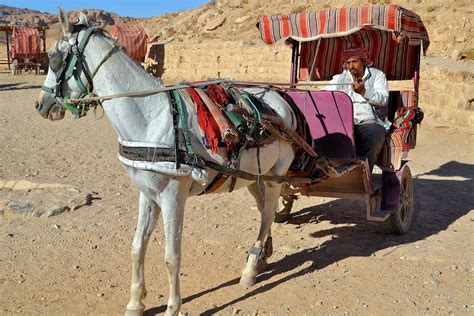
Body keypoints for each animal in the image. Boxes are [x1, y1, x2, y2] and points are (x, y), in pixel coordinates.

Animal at [35, 8, 296, 314]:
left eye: (54, 58)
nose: (40, 105)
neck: (152, 119)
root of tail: (282, 99)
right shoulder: (146, 193)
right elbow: (137, 246)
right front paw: (135, 302)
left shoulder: (173, 196)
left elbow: (172, 255)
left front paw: (173, 306)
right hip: (254, 177)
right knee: (265, 210)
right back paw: (263, 254)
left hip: (277, 174)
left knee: (267, 214)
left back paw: (250, 270)